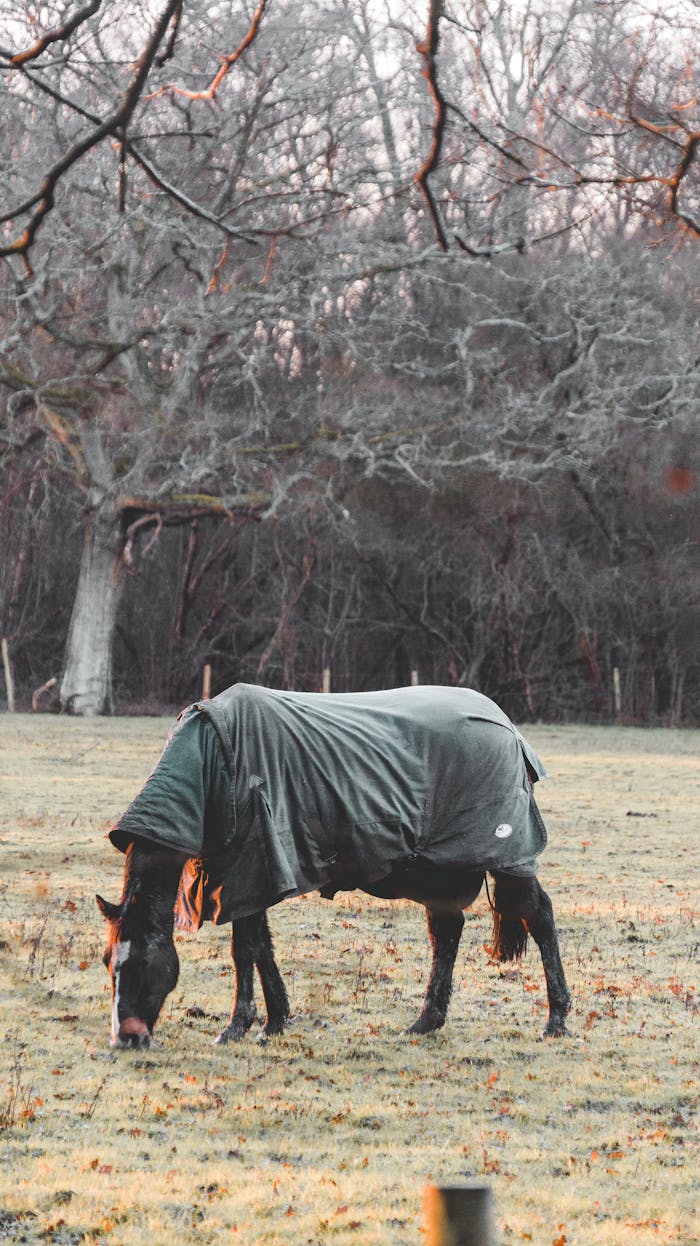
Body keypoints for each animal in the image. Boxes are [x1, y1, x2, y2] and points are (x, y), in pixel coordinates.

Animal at [97, 683, 571, 1048]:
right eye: (107, 962)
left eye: (142, 964)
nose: (126, 1039)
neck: (215, 765)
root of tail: (506, 726)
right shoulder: (248, 878)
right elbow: (261, 947)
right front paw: (275, 1021)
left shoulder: (249, 871)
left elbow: (244, 950)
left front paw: (238, 1027)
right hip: (440, 868)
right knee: (447, 933)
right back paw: (424, 1022)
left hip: (506, 859)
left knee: (539, 917)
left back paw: (557, 1020)